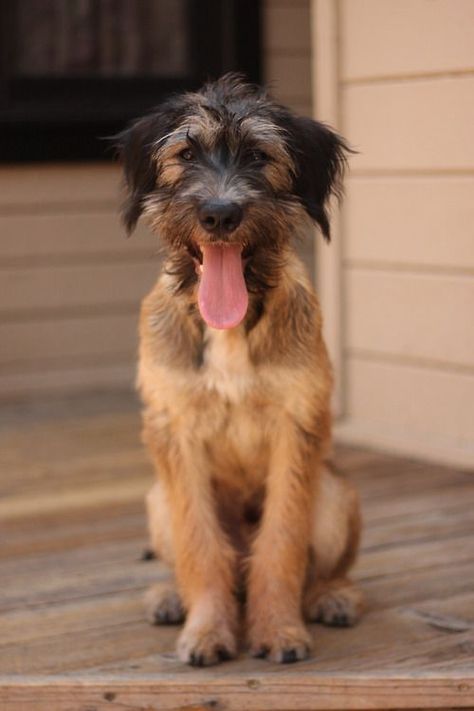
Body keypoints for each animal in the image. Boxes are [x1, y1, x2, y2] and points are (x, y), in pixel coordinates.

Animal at [116, 73, 362, 668]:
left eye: (258, 155)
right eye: (185, 154)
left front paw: (279, 629)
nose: (220, 214)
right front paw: (207, 628)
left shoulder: (297, 426)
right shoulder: (174, 432)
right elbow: (201, 544)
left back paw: (334, 597)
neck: (230, 324)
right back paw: (170, 597)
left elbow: (282, 540)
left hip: (337, 494)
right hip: (156, 499)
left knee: (321, 568)